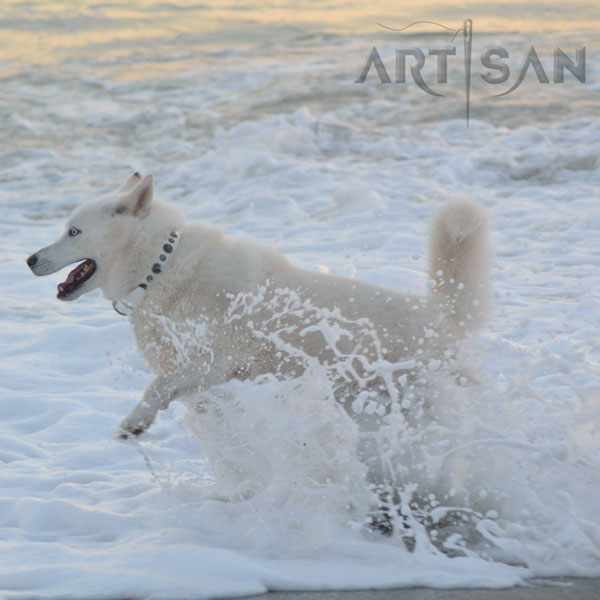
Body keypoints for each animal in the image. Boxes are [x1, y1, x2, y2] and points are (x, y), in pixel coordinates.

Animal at [27, 173, 488, 440]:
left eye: (73, 232)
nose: (29, 259)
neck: (159, 269)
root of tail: (443, 314)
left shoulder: (216, 360)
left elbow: (158, 386)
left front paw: (135, 422)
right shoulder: (205, 375)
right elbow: (173, 390)